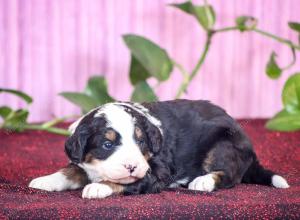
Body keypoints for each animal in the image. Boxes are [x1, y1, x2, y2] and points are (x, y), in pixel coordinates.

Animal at [29, 100, 290, 199]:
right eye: (107, 144)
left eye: (141, 142)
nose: (132, 165)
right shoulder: (83, 162)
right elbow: (69, 171)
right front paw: (44, 181)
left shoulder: (155, 171)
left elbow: (126, 182)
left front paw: (98, 187)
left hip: (224, 145)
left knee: (229, 175)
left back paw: (203, 181)